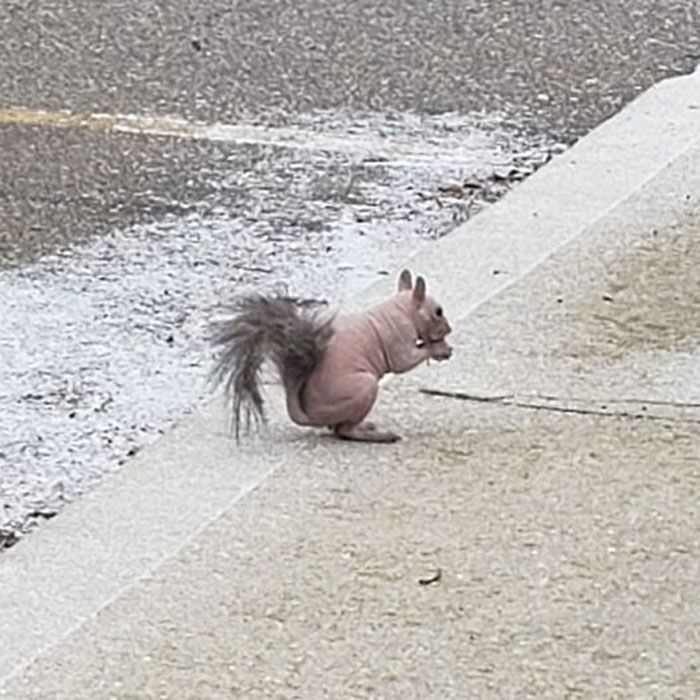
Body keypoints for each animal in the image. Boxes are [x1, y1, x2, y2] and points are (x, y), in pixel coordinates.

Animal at [210, 268, 453, 443]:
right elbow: (404, 361)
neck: (402, 309)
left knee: (338, 427)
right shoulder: (399, 339)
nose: (449, 330)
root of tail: (309, 415)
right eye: (438, 311)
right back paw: (377, 435)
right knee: (343, 430)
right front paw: (439, 349)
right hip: (364, 387)